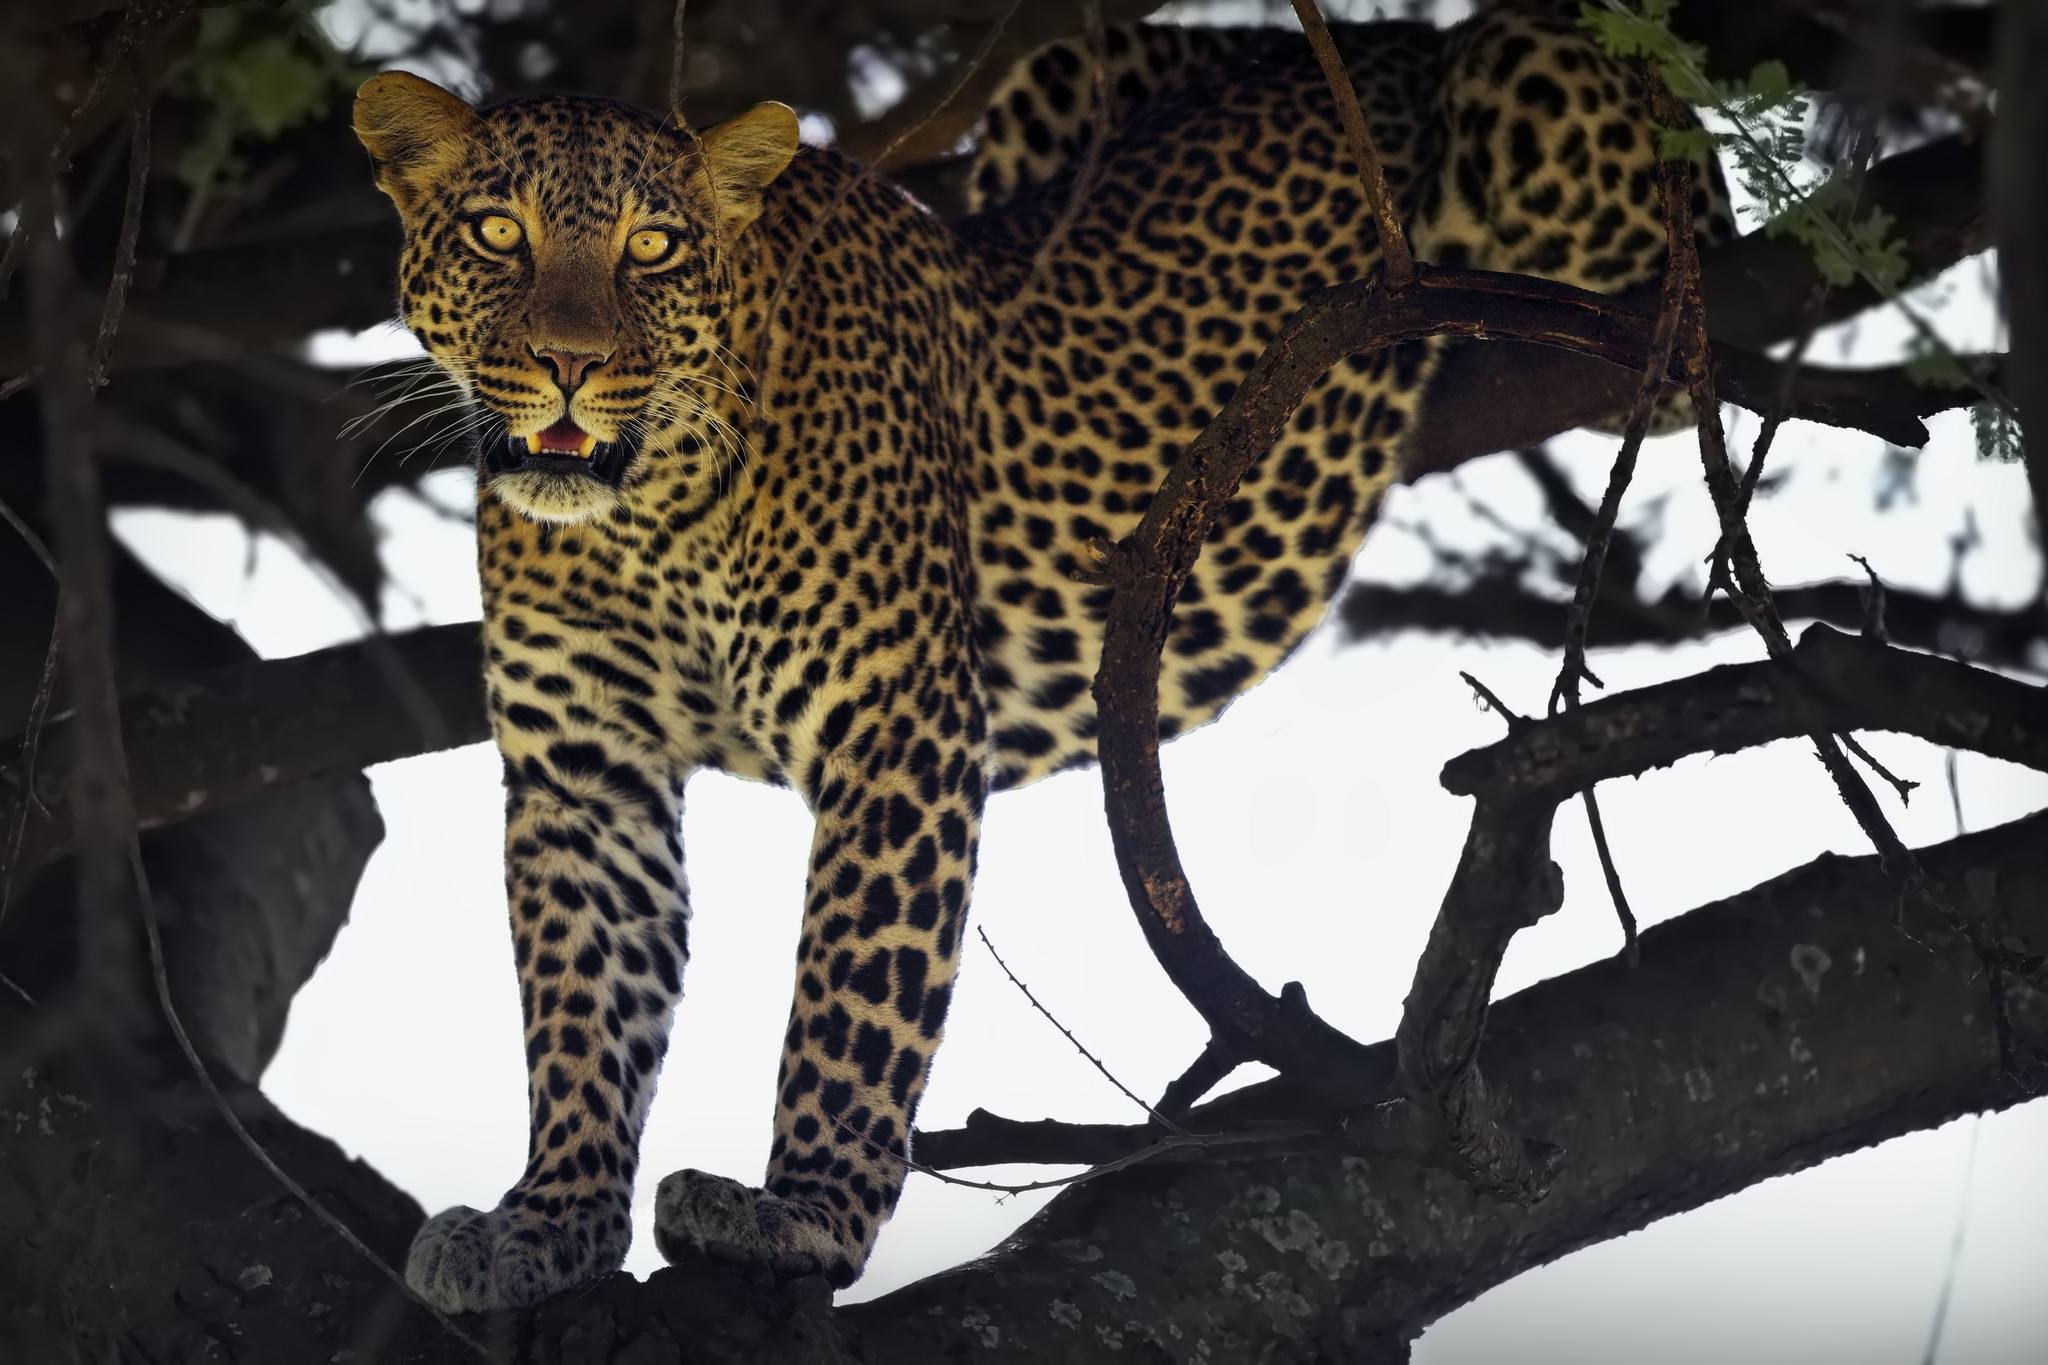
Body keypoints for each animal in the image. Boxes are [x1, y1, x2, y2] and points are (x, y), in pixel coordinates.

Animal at [352, 3, 1732, 1314]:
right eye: (496, 234)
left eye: (654, 247)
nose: (569, 365)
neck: (644, 515)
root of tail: (1358, 35)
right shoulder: (584, 774)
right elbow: (582, 1009)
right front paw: (551, 1227)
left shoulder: (892, 724)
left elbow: (854, 997)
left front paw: (803, 1216)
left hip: (1529, 77)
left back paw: (1665, 327)